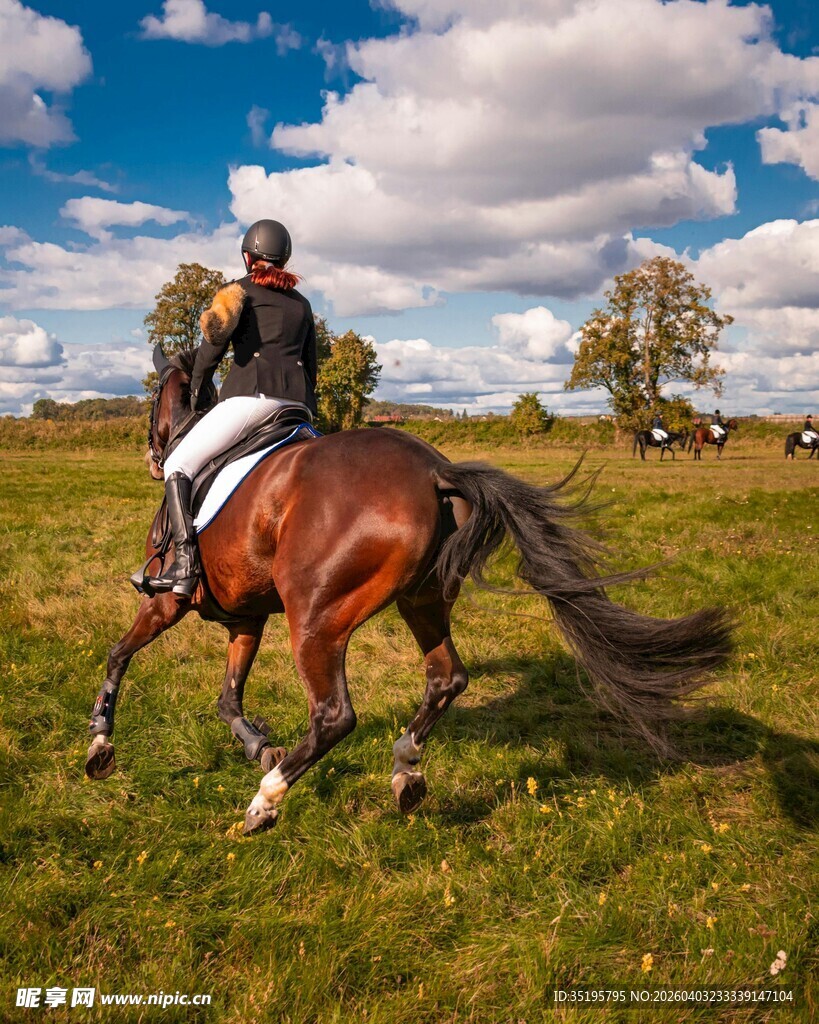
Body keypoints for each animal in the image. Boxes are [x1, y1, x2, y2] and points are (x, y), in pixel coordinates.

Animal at [84, 347, 732, 836]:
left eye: (152, 398)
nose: (153, 457)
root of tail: (434, 471)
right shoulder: (246, 618)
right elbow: (228, 698)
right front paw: (257, 745)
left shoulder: (167, 600)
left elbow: (119, 654)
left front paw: (100, 743)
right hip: (421, 601)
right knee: (447, 678)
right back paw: (406, 772)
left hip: (316, 619)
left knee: (335, 716)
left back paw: (265, 802)